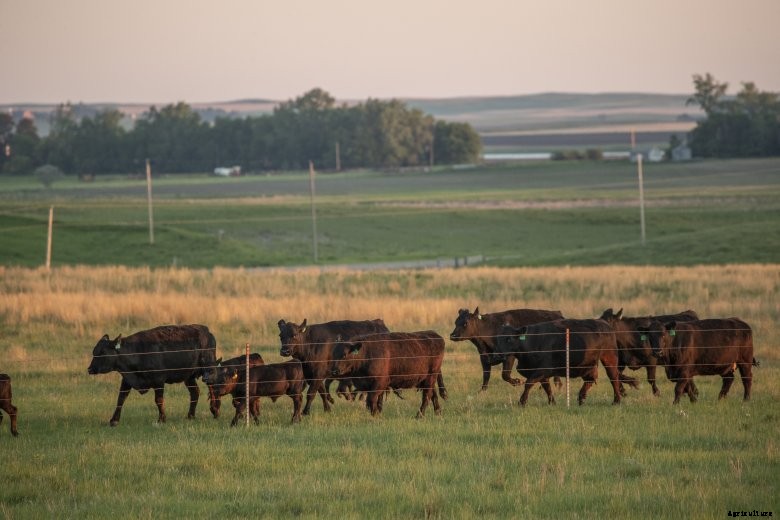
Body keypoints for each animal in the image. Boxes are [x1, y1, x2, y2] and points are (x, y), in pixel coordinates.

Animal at [87, 324, 219, 426]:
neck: (138, 352)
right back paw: (190, 415)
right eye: (94, 352)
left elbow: (158, 400)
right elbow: (121, 399)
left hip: (208, 370)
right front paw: (114, 420)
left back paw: (215, 410)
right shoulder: (127, 380)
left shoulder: (159, 380)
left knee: (212, 388)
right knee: (195, 392)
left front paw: (161, 419)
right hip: (189, 377)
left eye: (102, 353)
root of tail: (206, 331)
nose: (90, 369)